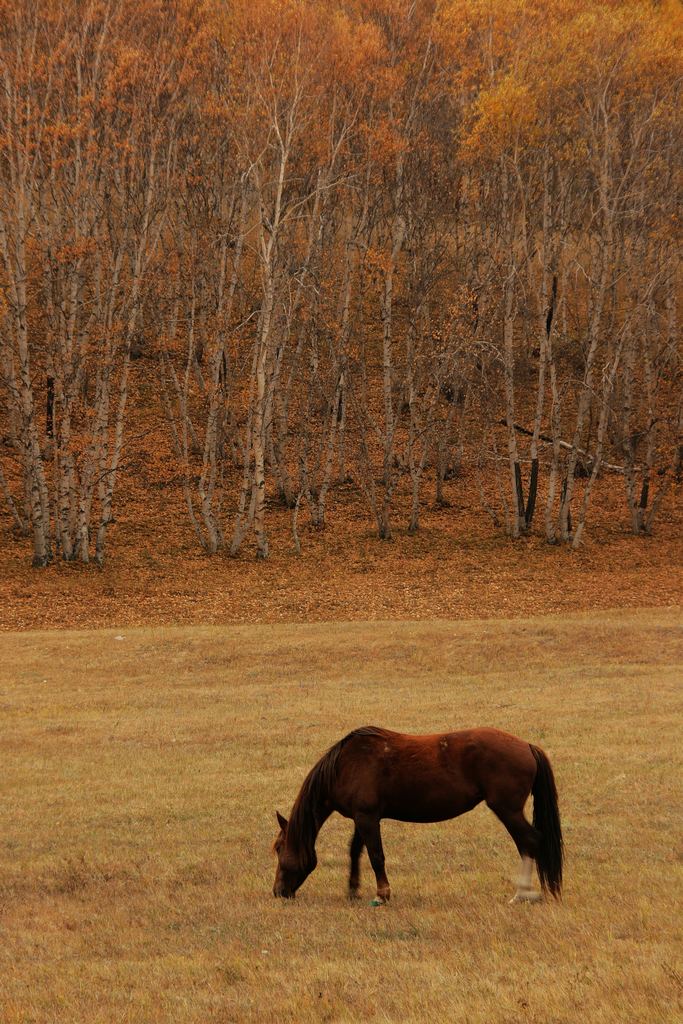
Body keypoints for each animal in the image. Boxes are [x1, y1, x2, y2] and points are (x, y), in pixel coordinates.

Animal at [274, 729, 565, 905]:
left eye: (278, 848)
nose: (278, 892)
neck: (345, 765)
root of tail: (527, 746)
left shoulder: (367, 817)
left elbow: (376, 856)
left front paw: (382, 895)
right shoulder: (362, 817)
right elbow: (355, 851)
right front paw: (353, 889)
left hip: (508, 810)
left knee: (529, 842)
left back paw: (522, 893)